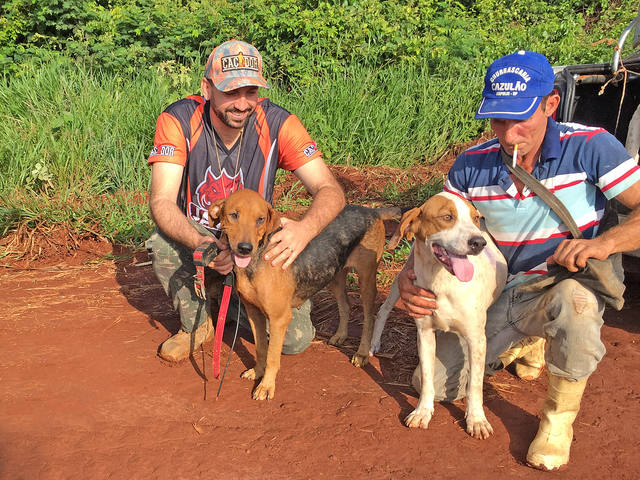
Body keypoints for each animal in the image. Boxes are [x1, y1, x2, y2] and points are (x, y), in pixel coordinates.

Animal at [209, 189, 400, 400]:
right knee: (345, 306)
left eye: (260, 219)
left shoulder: (279, 319)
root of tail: (371, 211)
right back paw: (340, 336)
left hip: (366, 279)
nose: (245, 248)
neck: (255, 261)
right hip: (333, 274)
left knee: (369, 317)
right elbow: (260, 349)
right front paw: (258, 372)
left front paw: (266, 386)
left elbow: (272, 357)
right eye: (234, 215)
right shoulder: (253, 313)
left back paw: (362, 353)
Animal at [368, 191, 508, 438]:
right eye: (447, 217)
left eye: (475, 218)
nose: (478, 243)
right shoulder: (424, 333)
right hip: (402, 277)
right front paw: (422, 411)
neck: (443, 280)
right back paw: (374, 343)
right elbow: (426, 378)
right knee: (383, 310)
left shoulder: (476, 340)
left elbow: (475, 385)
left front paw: (476, 419)